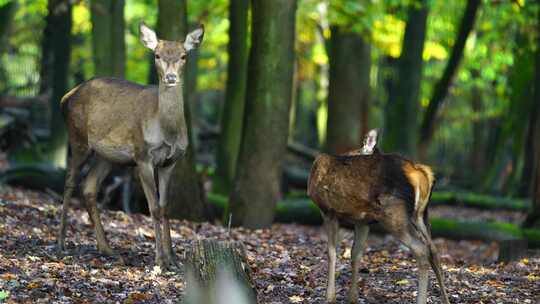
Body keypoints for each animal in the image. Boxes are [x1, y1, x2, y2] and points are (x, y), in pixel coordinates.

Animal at [56, 22, 205, 270]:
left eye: (184, 55)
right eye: (157, 55)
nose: (171, 77)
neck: (167, 132)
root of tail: (65, 97)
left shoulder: (170, 162)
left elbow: (165, 207)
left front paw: (173, 259)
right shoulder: (142, 156)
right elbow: (153, 207)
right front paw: (159, 260)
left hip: (106, 156)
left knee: (89, 187)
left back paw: (107, 248)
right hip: (78, 139)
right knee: (69, 182)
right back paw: (61, 242)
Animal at [306, 129, 450, 304]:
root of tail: (420, 173)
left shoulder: (329, 211)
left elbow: (331, 253)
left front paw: (329, 297)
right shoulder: (362, 220)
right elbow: (356, 254)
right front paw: (352, 297)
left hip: (393, 213)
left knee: (422, 250)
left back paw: (421, 300)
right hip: (421, 215)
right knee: (434, 251)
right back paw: (446, 300)